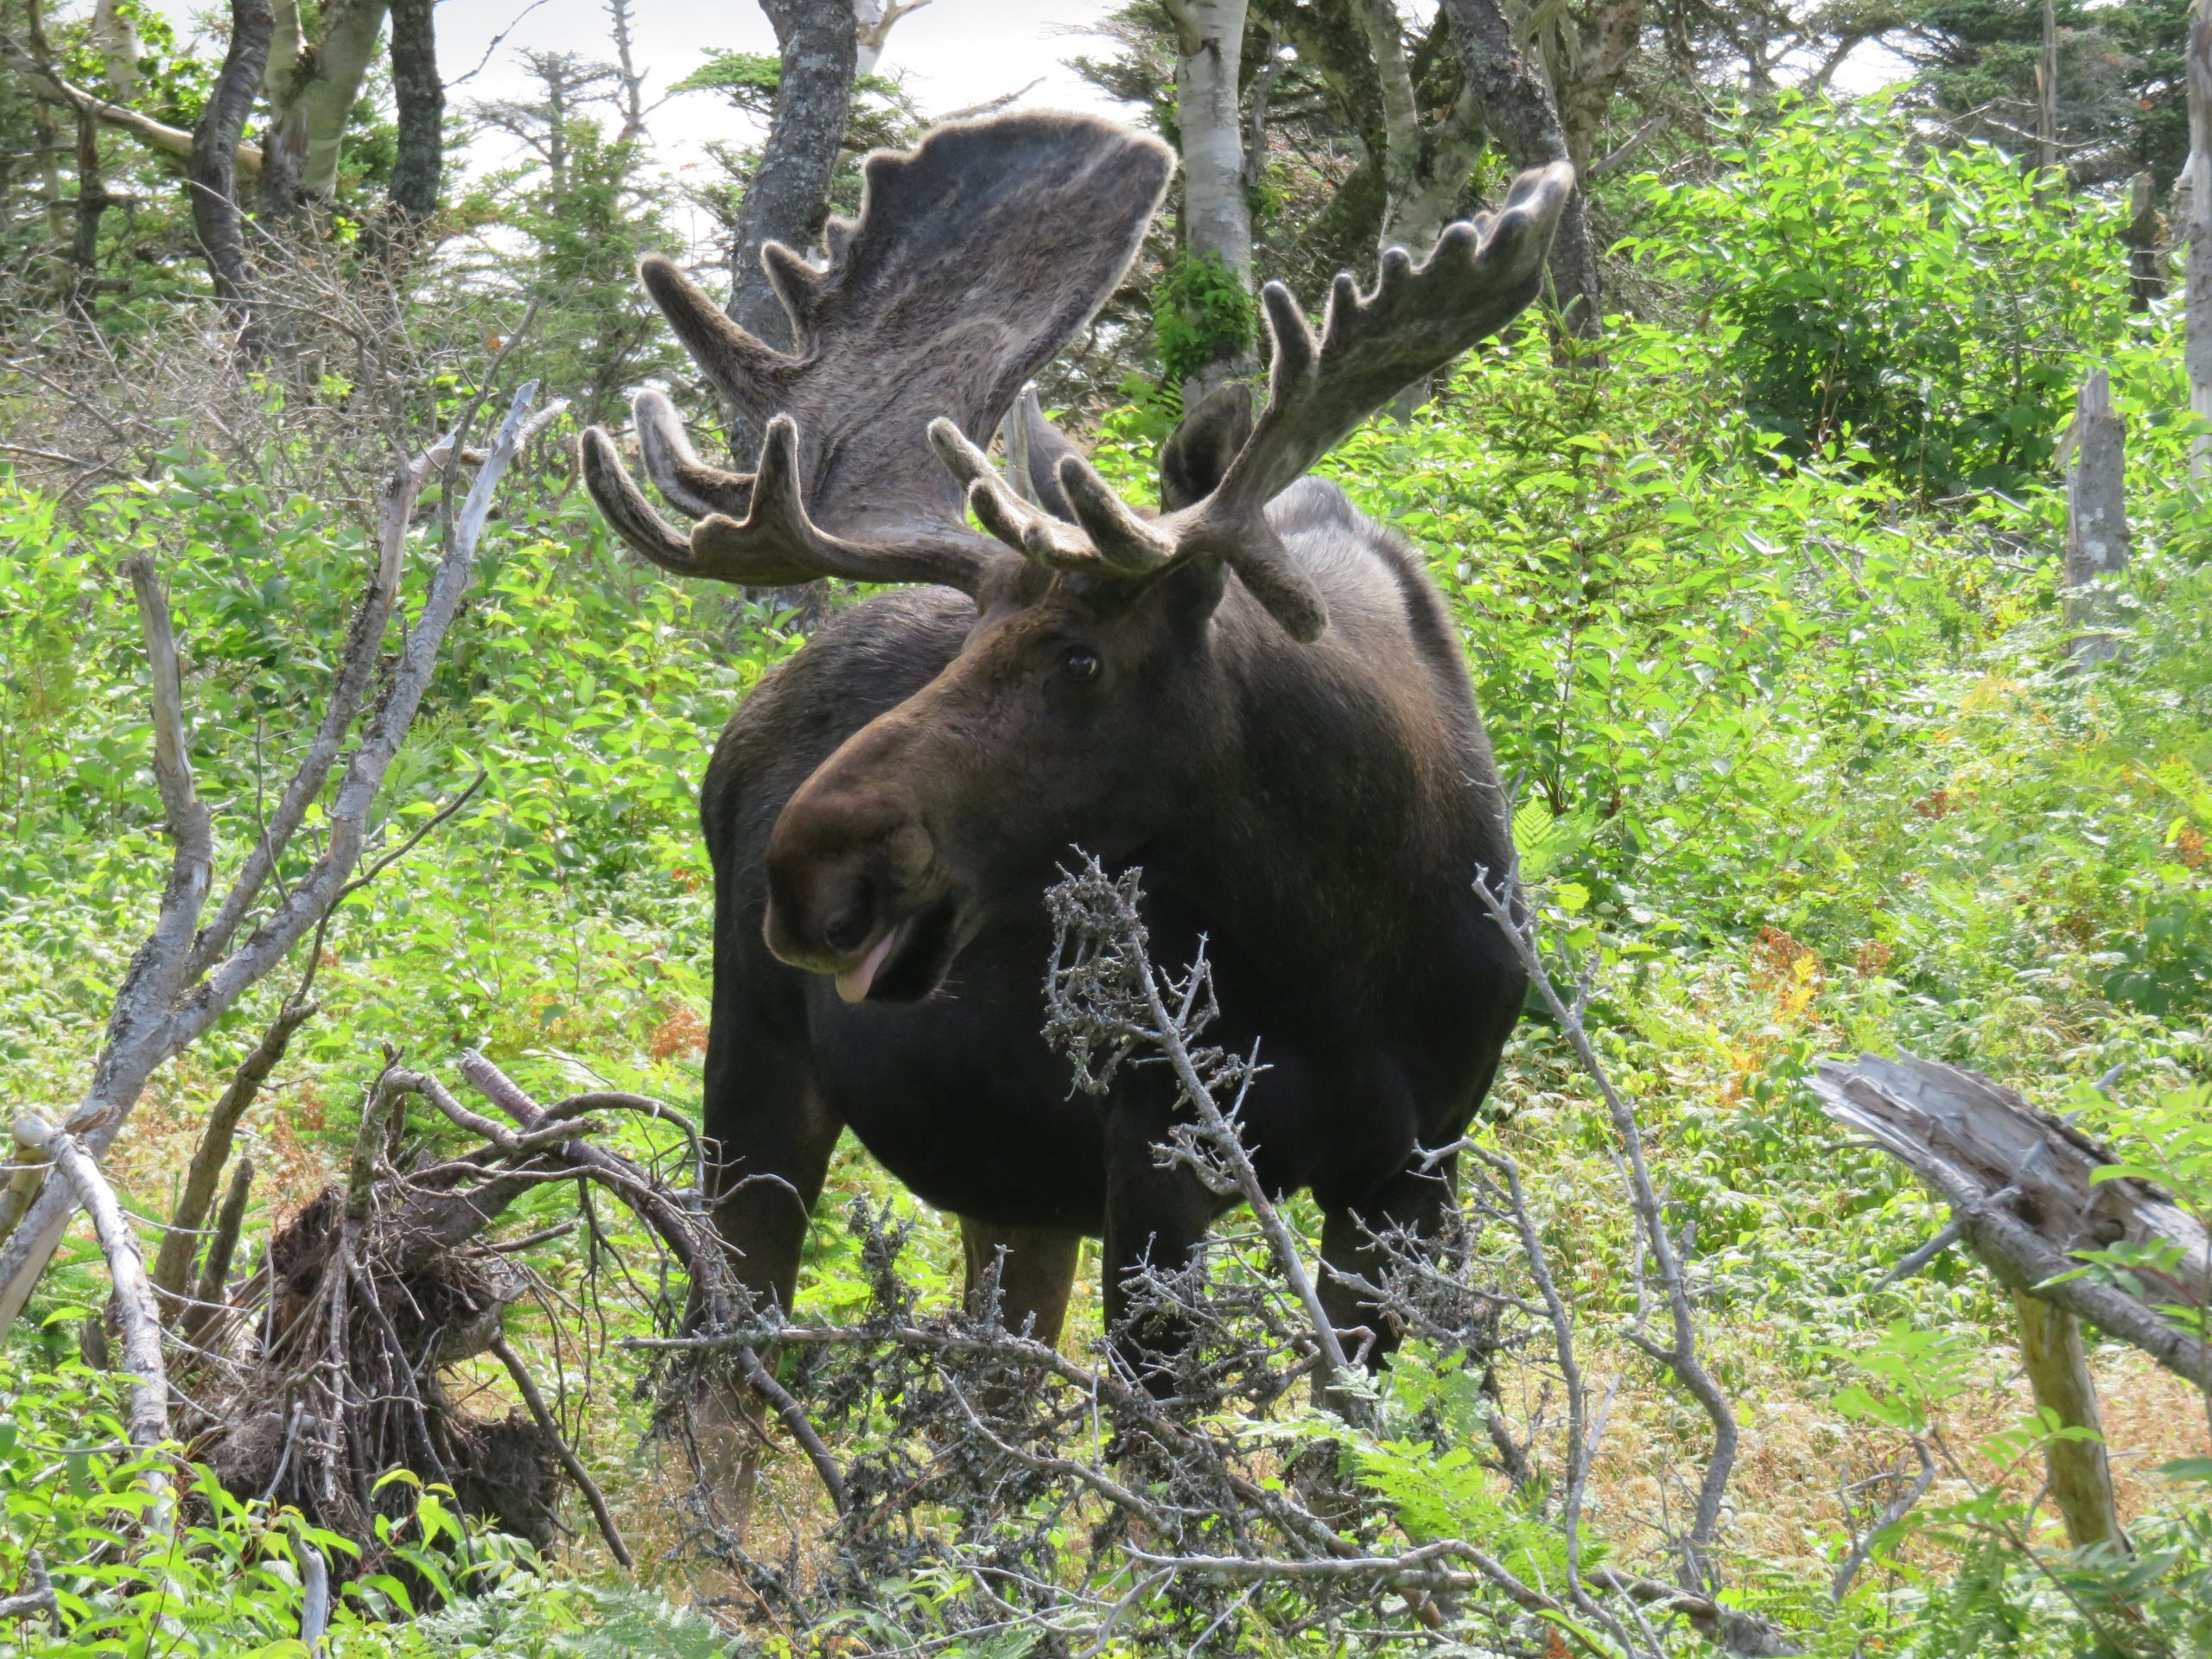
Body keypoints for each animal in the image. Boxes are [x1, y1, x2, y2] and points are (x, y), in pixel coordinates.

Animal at [579, 111, 1566, 1389]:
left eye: (1081, 660)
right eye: (970, 639)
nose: (810, 873)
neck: (1342, 939)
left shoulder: (1413, 1173)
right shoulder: (1156, 1155)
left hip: (1011, 1184)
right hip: (756, 1072)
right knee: (720, 1370)